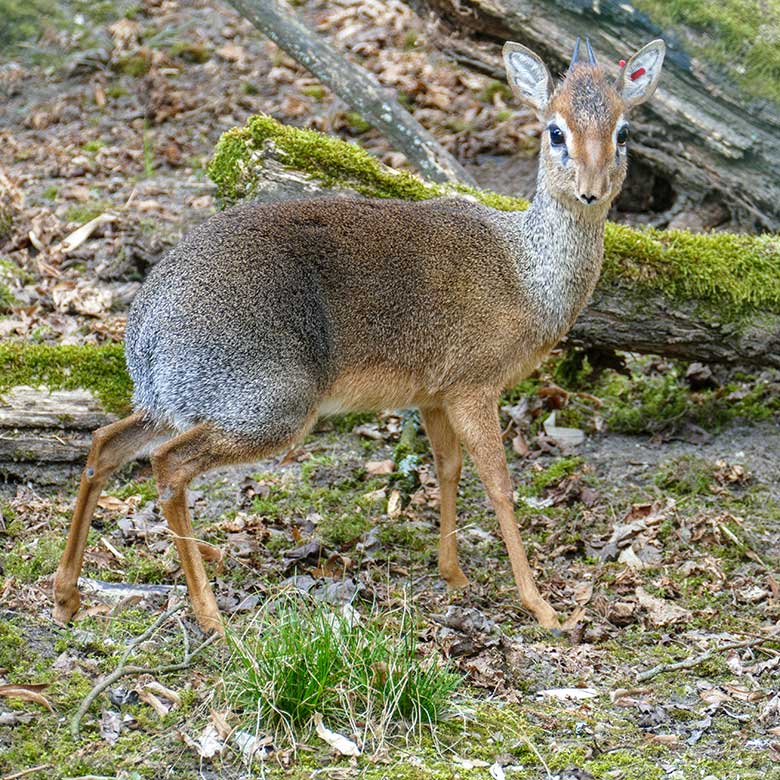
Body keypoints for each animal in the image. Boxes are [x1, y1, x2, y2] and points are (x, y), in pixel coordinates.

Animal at [53, 38, 664, 632]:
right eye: (555, 130)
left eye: (623, 131)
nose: (590, 190)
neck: (528, 274)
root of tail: (144, 327)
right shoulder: (474, 386)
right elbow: (500, 485)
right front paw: (542, 608)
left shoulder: (434, 395)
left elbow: (447, 469)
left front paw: (453, 575)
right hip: (269, 407)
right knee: (167, 466)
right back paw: (208, 616)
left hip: (177, 404)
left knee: (105, 444)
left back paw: (67, 596)